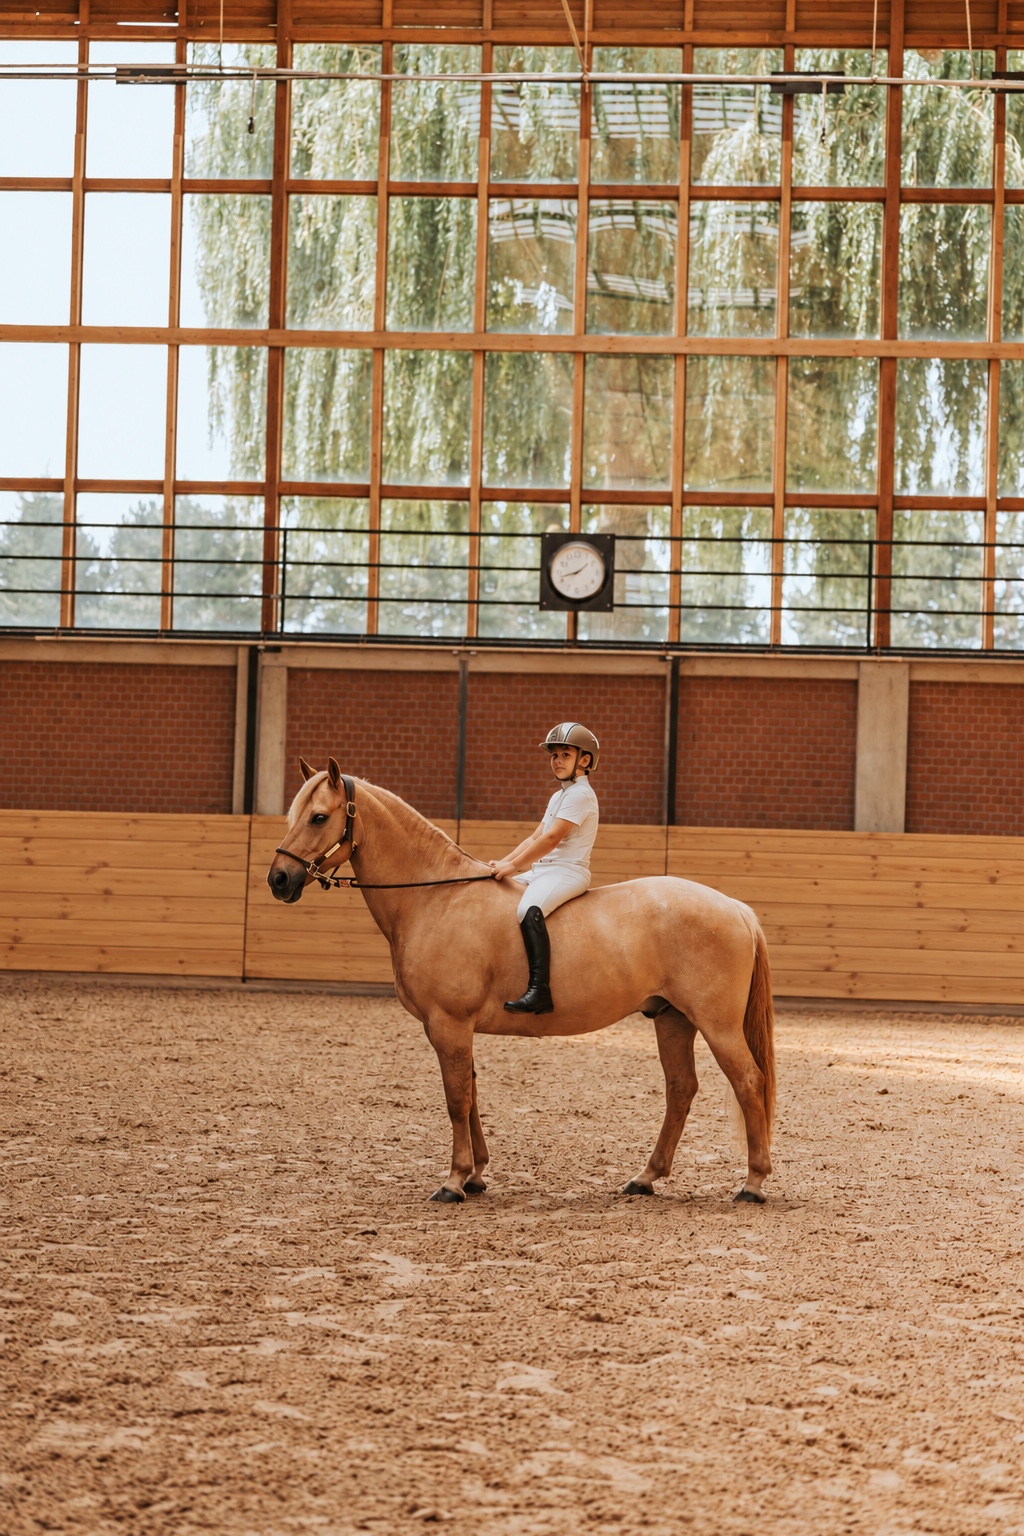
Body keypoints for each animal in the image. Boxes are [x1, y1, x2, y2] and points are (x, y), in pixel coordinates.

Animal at [267, 758, 776, 1207]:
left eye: (319, 817)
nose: (279, 880)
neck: (436, 898)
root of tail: (734, 907)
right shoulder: (452, 1029)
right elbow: (470, 1094)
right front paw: (475, 1177)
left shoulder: (448, 1024)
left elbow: (456, 1099)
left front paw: (453, 1182)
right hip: (671, 1019)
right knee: (680, 1090)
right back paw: (645, 1178)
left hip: (716, 1024)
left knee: (748, 1082)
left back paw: (752, 1184)